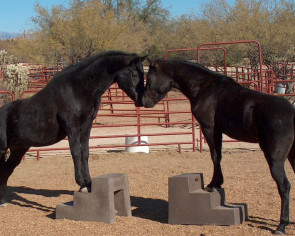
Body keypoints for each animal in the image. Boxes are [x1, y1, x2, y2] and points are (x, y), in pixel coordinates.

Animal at [0, 51, 147, 205]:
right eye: (134, 74)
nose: (142, 99)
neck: (78, 90)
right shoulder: (72, 127)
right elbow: (76, 152)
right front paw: (81, 182)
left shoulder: (86, 126)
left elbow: (85, 152)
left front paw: (88, 183)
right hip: (3, 149)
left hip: (18, 150)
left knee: (5, 171)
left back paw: (2, 201)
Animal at [143, 59, 295, 234]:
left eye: (149, 77)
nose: (145, 101)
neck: (205, 87)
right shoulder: (218, 131)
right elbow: (218, 155)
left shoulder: (209, 128)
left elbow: (215, 156)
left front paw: (213, 184)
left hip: (275, 159)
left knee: (284, 187)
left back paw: (281, 226)